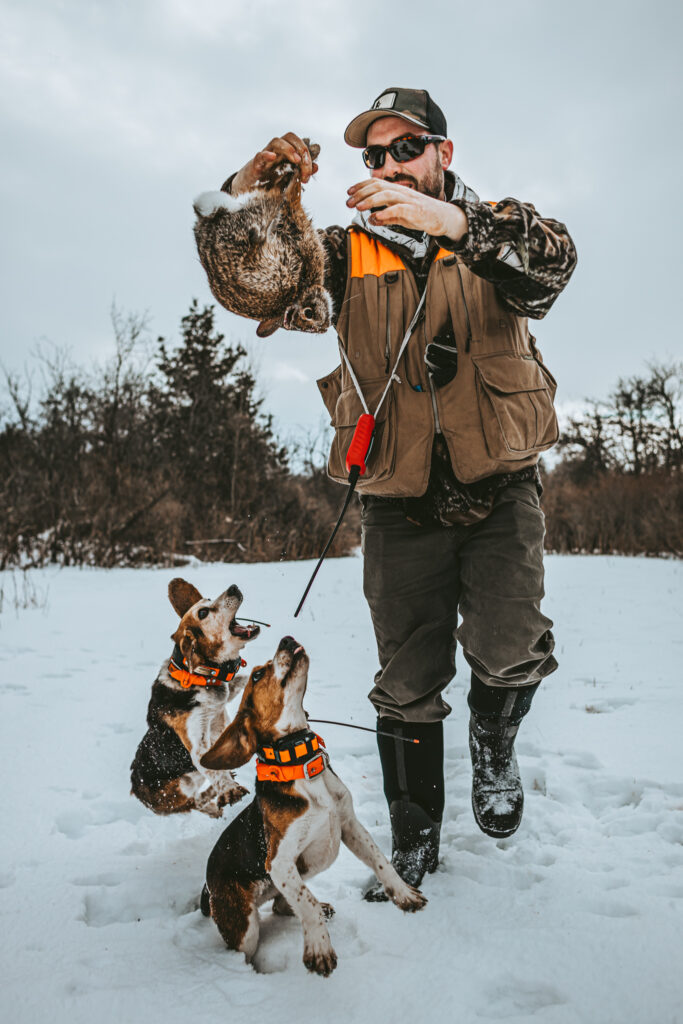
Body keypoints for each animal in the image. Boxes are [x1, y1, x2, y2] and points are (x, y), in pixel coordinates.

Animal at [193, 140, 331, 338]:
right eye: (309, 314)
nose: (326, 326)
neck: (299, 293)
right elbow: (292, 200)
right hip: (263, 209)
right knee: (278, 188)